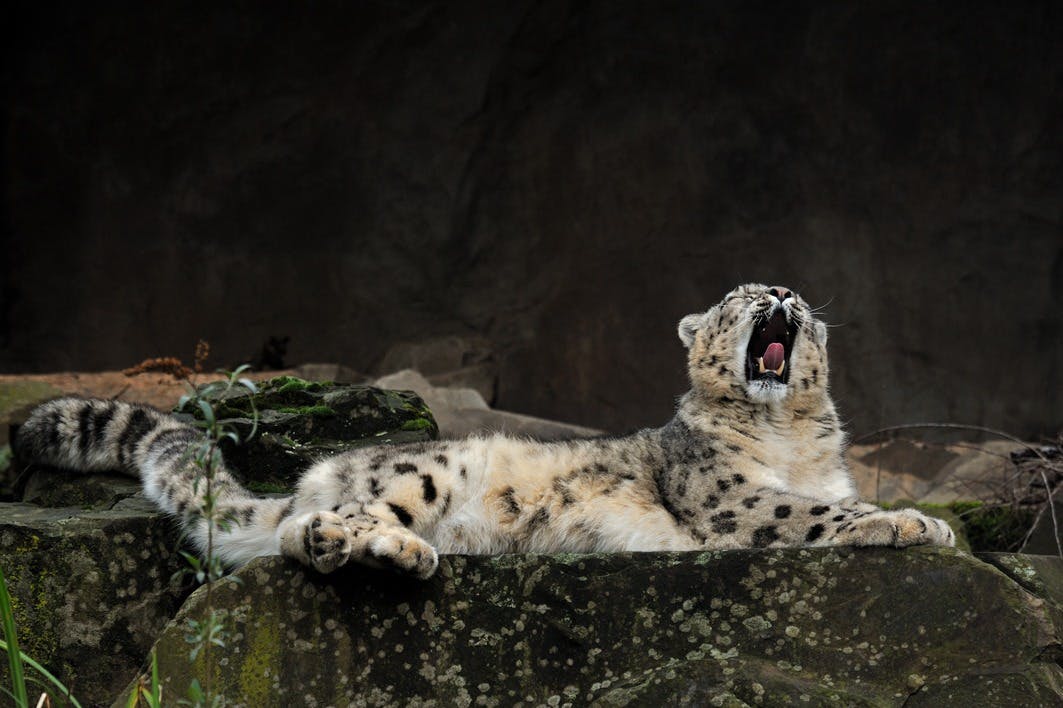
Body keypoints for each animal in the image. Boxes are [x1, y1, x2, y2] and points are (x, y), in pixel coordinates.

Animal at [15, 283, 954, 579]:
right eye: (738, 298)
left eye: (794, 297)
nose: (783, 298)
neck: (788, 431)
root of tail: (322, 468)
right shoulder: (727, 498)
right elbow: (812, 514)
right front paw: (916, 521)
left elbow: (829, 502)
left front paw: (911, 518)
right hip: (420, 472)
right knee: (323, 522)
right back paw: (391, 548)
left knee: (293, 536)